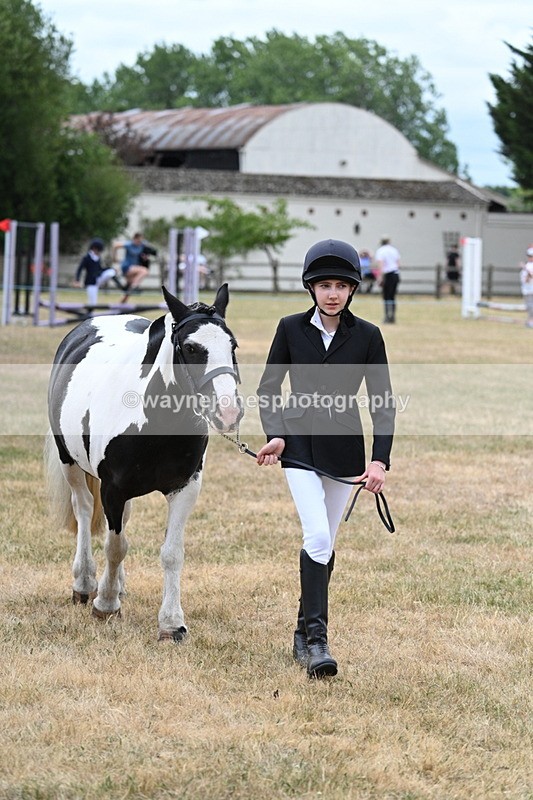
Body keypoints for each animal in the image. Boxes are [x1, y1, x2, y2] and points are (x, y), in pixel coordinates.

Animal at [45, 284, 243, 641]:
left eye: (232, 345)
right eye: (190, 348)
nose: (229, 411)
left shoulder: (185, 488)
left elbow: (171, 553)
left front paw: (171, 623)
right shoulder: (112, 489)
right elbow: (115, 546)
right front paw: (105, 605)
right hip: (71, 465)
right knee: (83, 510)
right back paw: (85, 583)